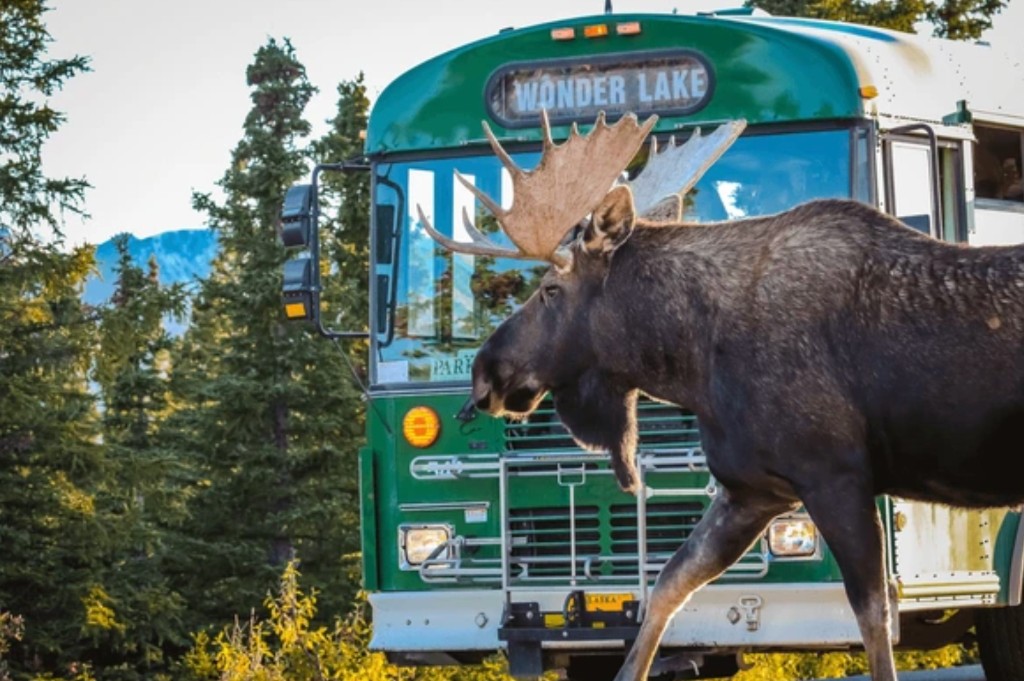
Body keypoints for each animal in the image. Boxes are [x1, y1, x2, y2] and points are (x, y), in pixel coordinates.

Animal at [417, 110, 1024, 681]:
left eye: (549, 290)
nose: (485, 373)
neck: (692, 360)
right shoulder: (751, 488)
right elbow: (668, 584)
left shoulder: (835, 475)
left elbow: (873, 615)